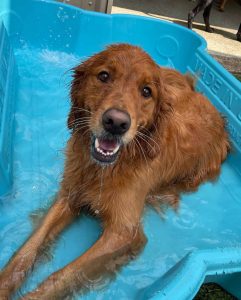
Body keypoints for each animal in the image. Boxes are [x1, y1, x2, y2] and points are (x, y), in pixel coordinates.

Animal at [0, 44, 230, 300]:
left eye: (146, 91)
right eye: (103, 76)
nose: (116, 123)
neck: (104, 169)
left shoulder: (124, 233)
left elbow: (65, 274)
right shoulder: (69, 197)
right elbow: (26, 250)